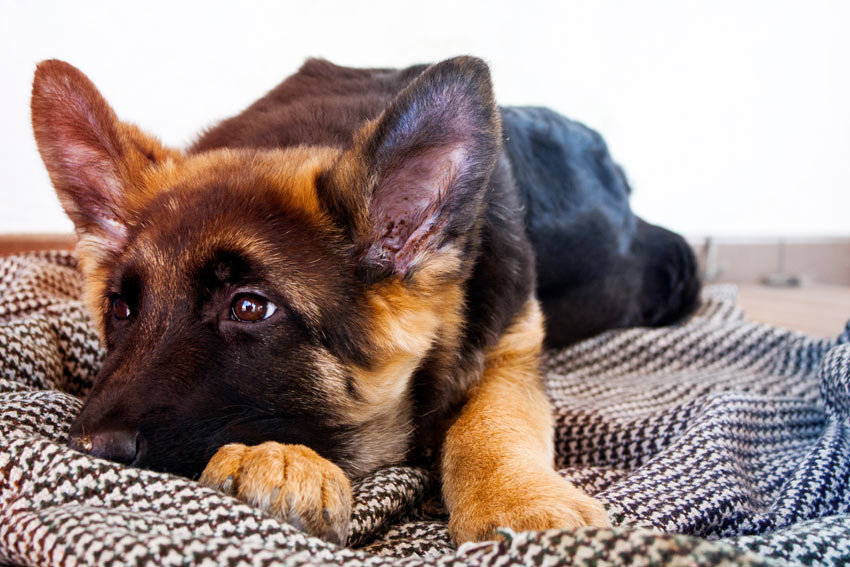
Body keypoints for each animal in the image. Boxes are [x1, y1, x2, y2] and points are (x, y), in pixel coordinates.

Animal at [31, 56, 696, 544]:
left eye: (249, 307)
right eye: (121, 309)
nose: (88, 452)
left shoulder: (511, 344)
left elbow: (493, 419)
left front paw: (518, 501)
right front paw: (286, 462)